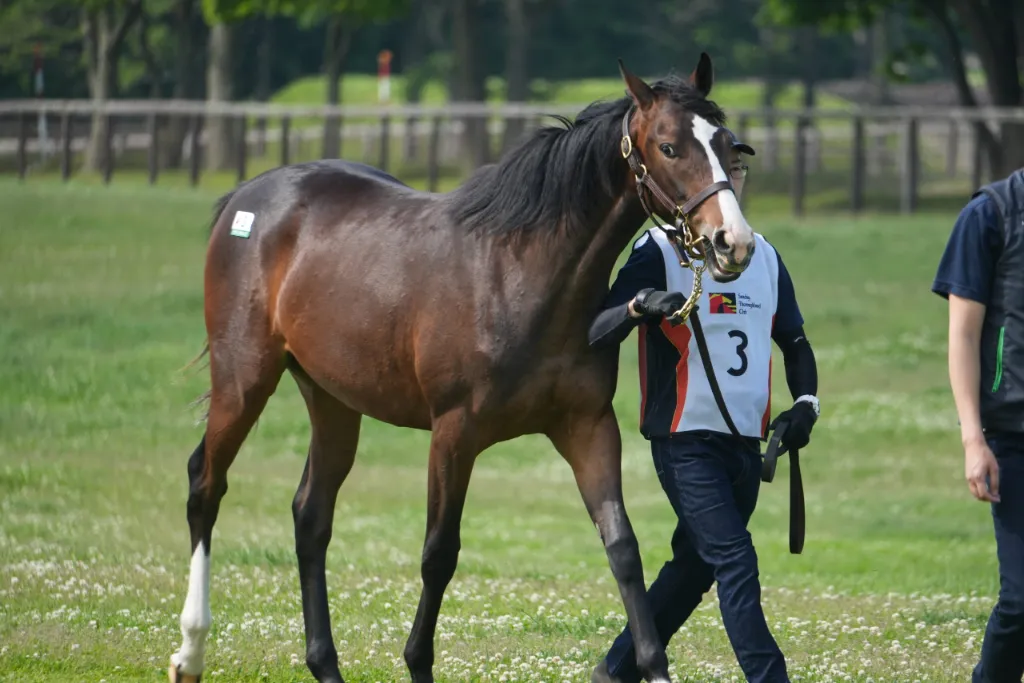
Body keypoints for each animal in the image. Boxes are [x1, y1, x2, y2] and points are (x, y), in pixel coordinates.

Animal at [168, 53, 756, 683]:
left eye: (727, 144)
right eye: (669, 147)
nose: (733, 242)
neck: (520, 276)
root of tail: (248, 197)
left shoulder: (588, 428)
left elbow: (622, 547)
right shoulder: (454, 433)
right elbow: (439, 554)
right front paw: (416, 660)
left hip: (332, 400)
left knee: (311, 515)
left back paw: (323, 663)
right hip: (244, 378)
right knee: (205, 484)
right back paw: (190, 651)